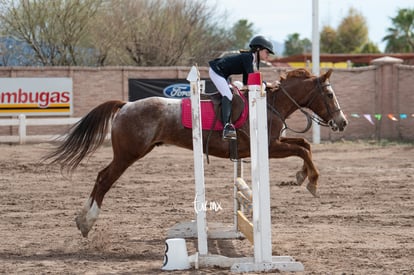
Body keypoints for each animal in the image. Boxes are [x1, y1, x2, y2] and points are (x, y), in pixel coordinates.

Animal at [44, 68, 346, 238]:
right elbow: (302, 150)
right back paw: (86, 222)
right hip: (128, 155)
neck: (269, 103)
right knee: (104, 178)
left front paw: (302, 176)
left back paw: (82, 220)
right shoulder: (270, 148)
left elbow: (304, 146)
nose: (342, 122)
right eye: (330, 95)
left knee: (101, 177)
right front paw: (311, 181)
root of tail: (126, 105)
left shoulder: (274, 143)